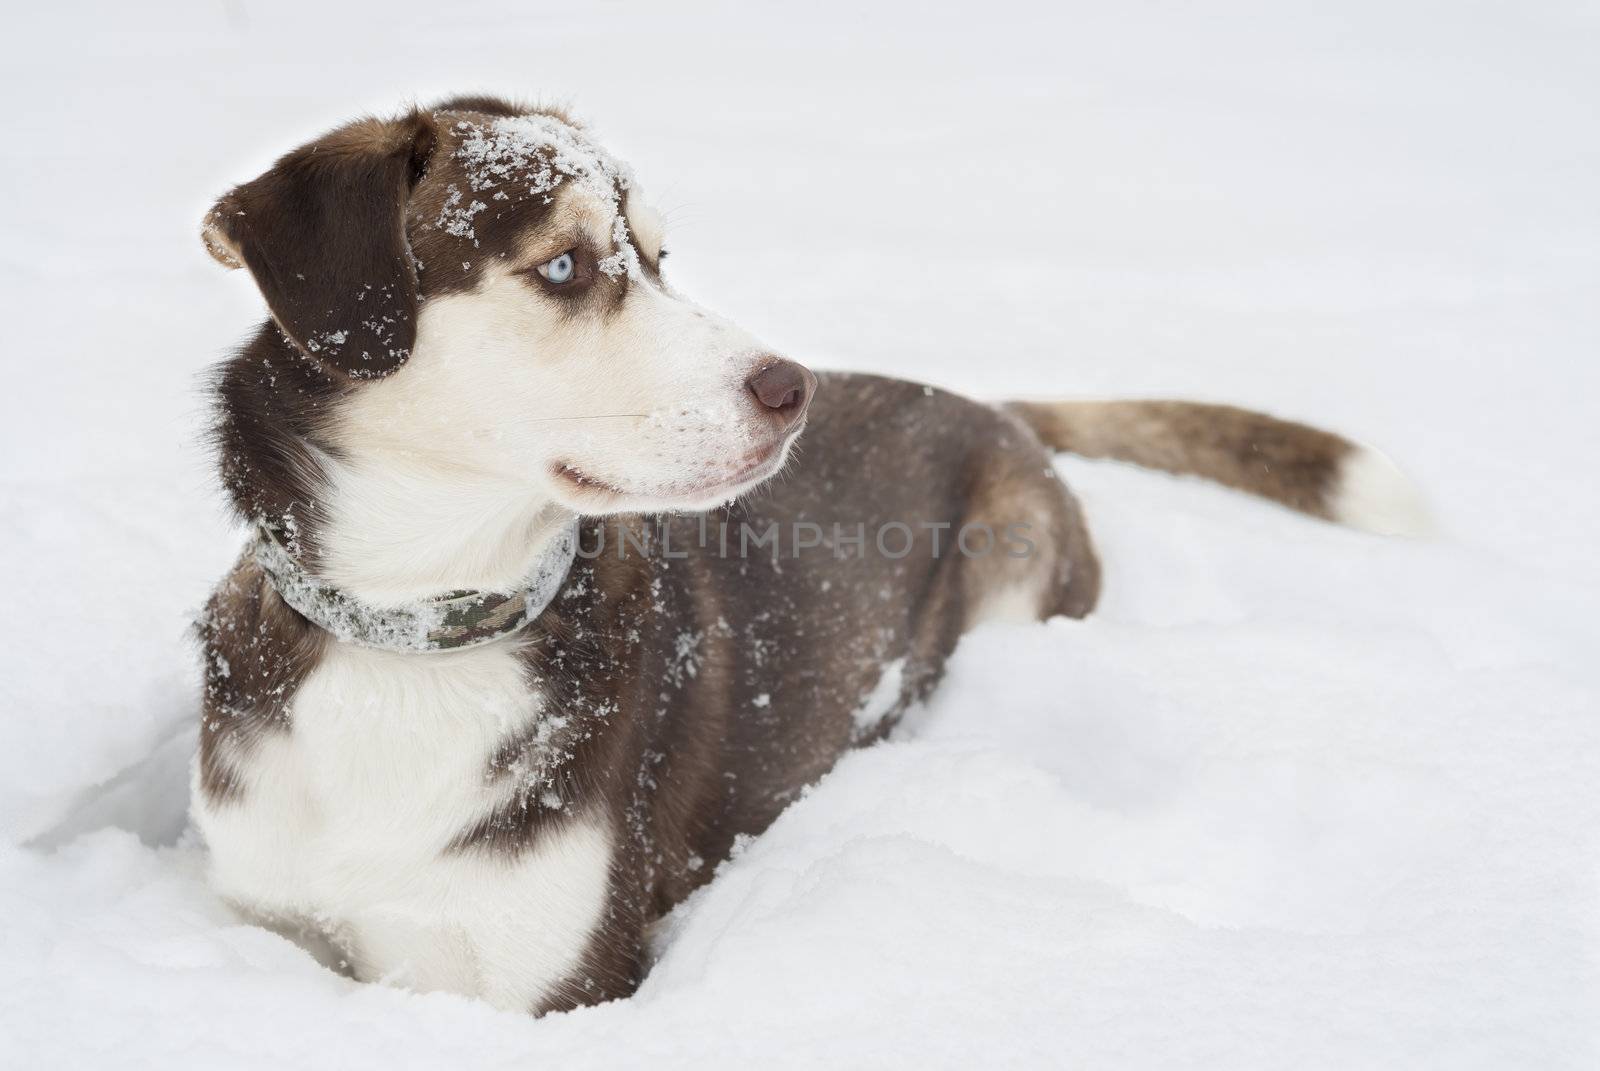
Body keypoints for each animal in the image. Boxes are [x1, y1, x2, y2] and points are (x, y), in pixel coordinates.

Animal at [187, 96, 1427, 1018]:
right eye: (566, 267)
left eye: (660, 255)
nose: (793, 390)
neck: (411, 630)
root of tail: (986, 403)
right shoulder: (265, 918)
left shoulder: (549, 981)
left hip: (1017, 560)